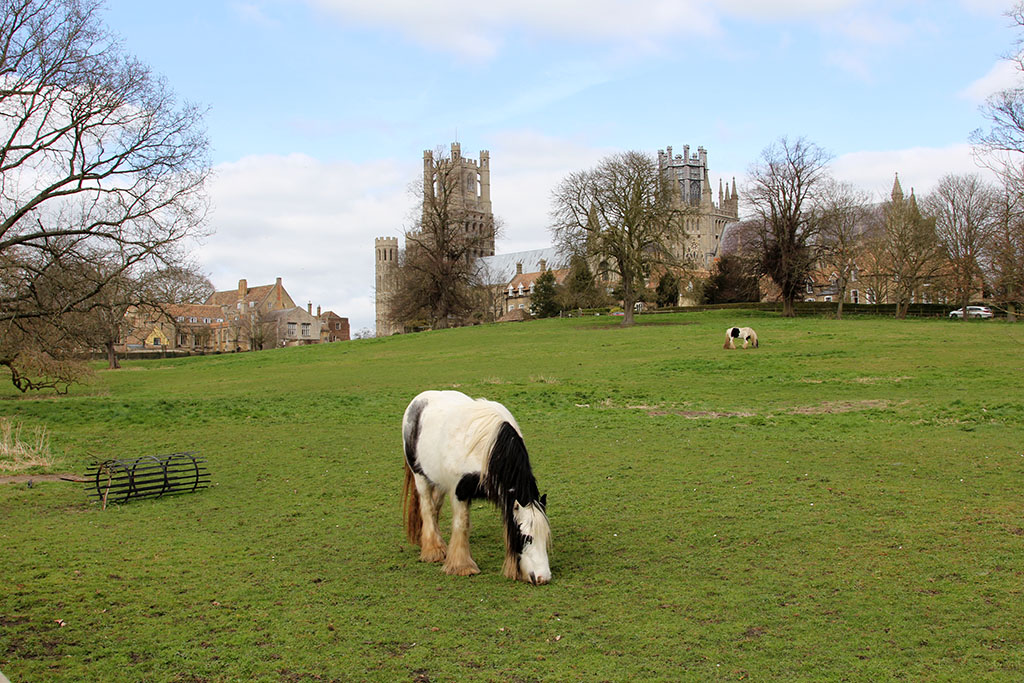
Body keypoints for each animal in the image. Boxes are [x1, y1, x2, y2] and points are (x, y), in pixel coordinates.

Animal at [399, 393, 552, 585]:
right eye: (526, 537)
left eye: (545, 536)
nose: (543, 577)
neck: (489, 449)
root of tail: (418, 400)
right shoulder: (459, 490)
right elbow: (461, 524)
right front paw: (461, 566)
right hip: (420, 476)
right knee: (427, 508)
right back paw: (432, 550)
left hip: (440, 482)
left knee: (434, 508)